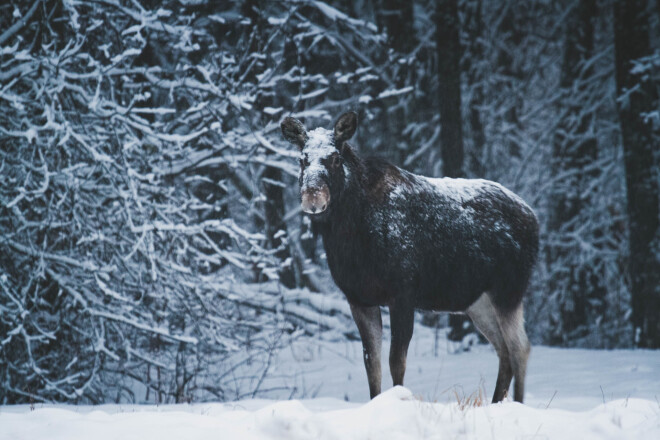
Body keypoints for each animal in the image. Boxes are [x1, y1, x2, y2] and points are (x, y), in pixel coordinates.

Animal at [282, 111, 540, 402]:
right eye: (301, 159)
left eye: (336, 158)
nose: (312, 198)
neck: (352, 240)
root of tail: (534, 219)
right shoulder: (358, 298)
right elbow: (371, 363)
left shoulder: (403, 293)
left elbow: (397, 362)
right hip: (478, 302)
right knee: (504, 351)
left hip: (509, 291)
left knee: (520, 348)